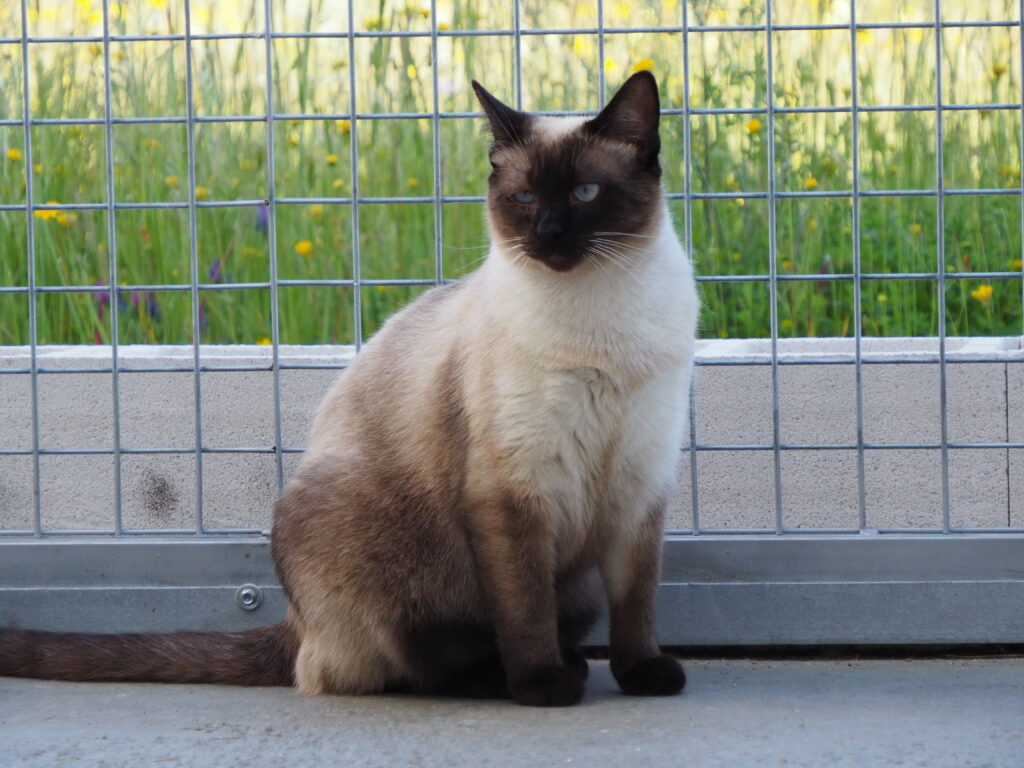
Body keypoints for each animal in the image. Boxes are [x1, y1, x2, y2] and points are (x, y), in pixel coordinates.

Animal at [0, 71, 698, 707]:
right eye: (524, 197)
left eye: (585, 192)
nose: (548, 234)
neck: (598, 327)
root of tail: (297, 621)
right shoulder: (511, 492)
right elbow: (525, 609)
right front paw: (541, 686)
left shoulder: (640, 484)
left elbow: (637, 602)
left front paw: (645, 675)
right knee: (413, 662)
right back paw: (518, 678)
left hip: (577, 584)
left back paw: (575, 664)